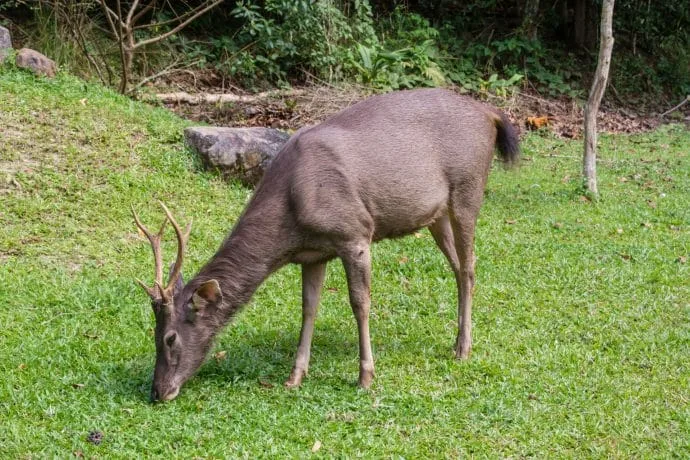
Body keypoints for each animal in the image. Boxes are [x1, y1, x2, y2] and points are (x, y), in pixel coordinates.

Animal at [132, 88, 519, 402]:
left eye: (170, 338)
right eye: (152, 333)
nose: (157, 391)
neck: (290, 217)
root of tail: (491, 113)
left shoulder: (355, 233)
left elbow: (360, 303)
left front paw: (365, 376)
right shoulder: (312, 254)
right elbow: (308, 308)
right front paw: (294, 376)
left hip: (468, 189)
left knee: (469, 267)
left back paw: (464, 349)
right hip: (435, 215)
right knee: (458, 267)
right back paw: (456, 342)